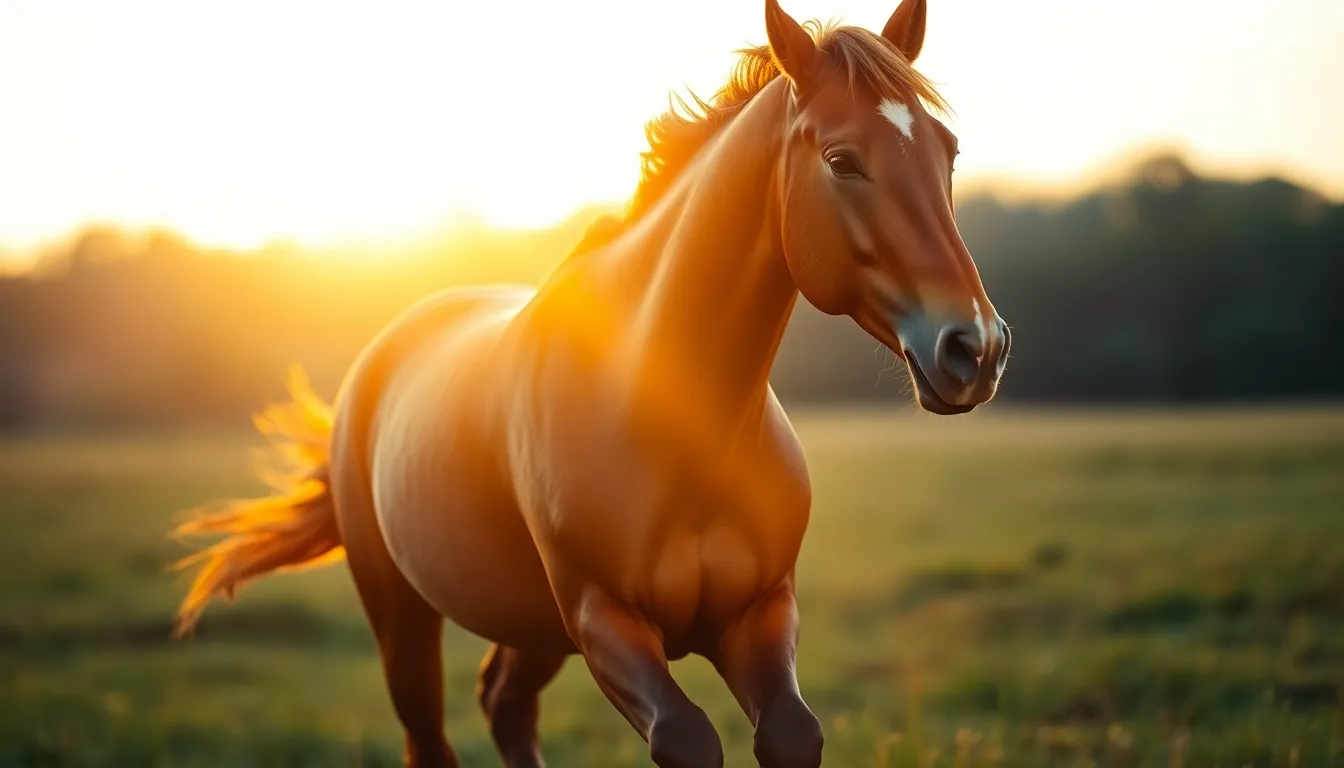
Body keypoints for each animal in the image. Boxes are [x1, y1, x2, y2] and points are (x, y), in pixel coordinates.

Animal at [170, 1, 1010, 765]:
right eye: (842, 160)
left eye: (948, 152)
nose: (976, 348)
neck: (671, 421)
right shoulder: (605, 621)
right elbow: (688, 739)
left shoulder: (759, 614)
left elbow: (792, 736)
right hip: (406, 619)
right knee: (432, 735)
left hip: (530, 628)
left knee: (505, 705)